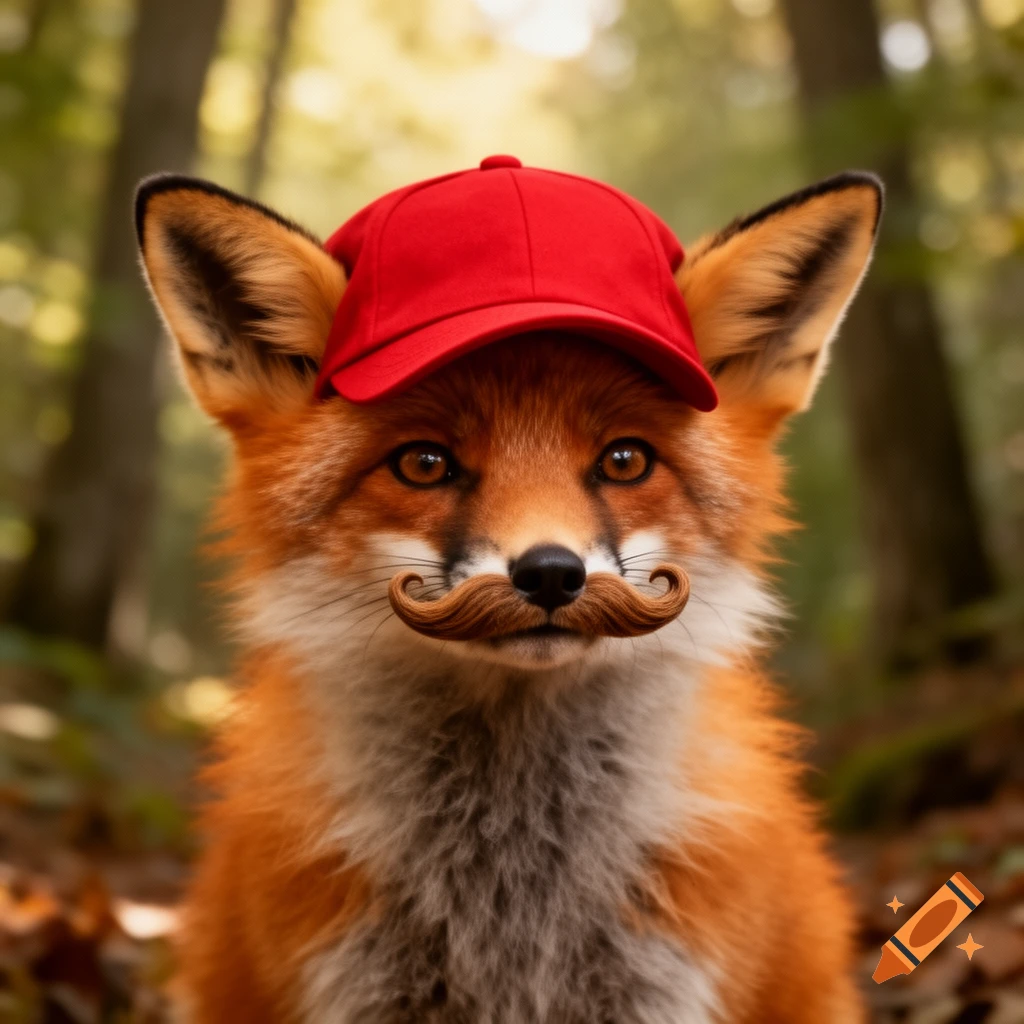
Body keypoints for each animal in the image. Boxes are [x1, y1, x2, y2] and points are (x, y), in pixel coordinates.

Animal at [135, 164, 882, 1023]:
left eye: (625, 460)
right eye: (424, 464)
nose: (552, 573)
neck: (512, 900)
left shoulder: (660, 984)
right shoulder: (357, 987)